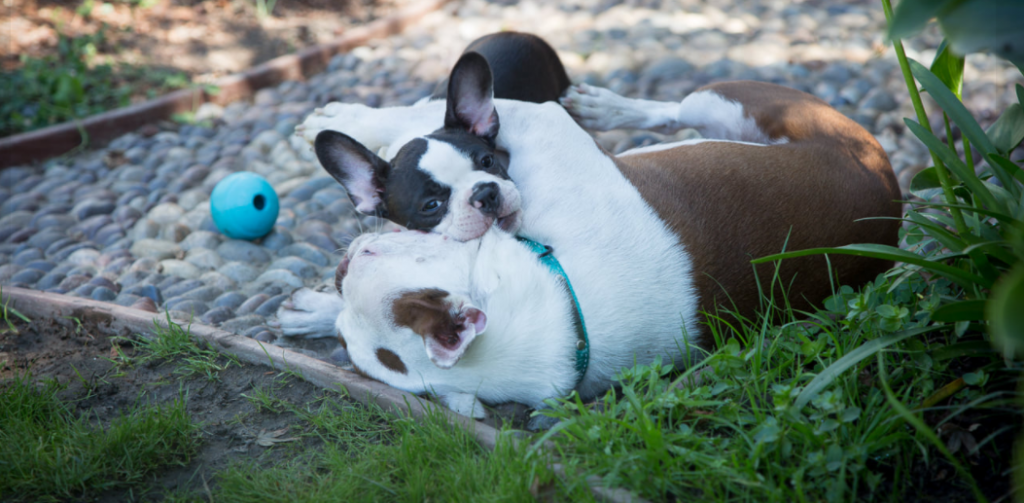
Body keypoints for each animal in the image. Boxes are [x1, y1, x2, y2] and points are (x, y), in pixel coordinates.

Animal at [276, 53, 901, 424]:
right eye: (428, 208)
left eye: (370, 251)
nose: (346, 259)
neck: (562, 301)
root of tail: (892, 193)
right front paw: (311, 313)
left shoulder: (531, 127)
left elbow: (427, 114)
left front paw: (351, 120)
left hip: (731, 102)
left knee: (674, 107)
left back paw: (610, 105)